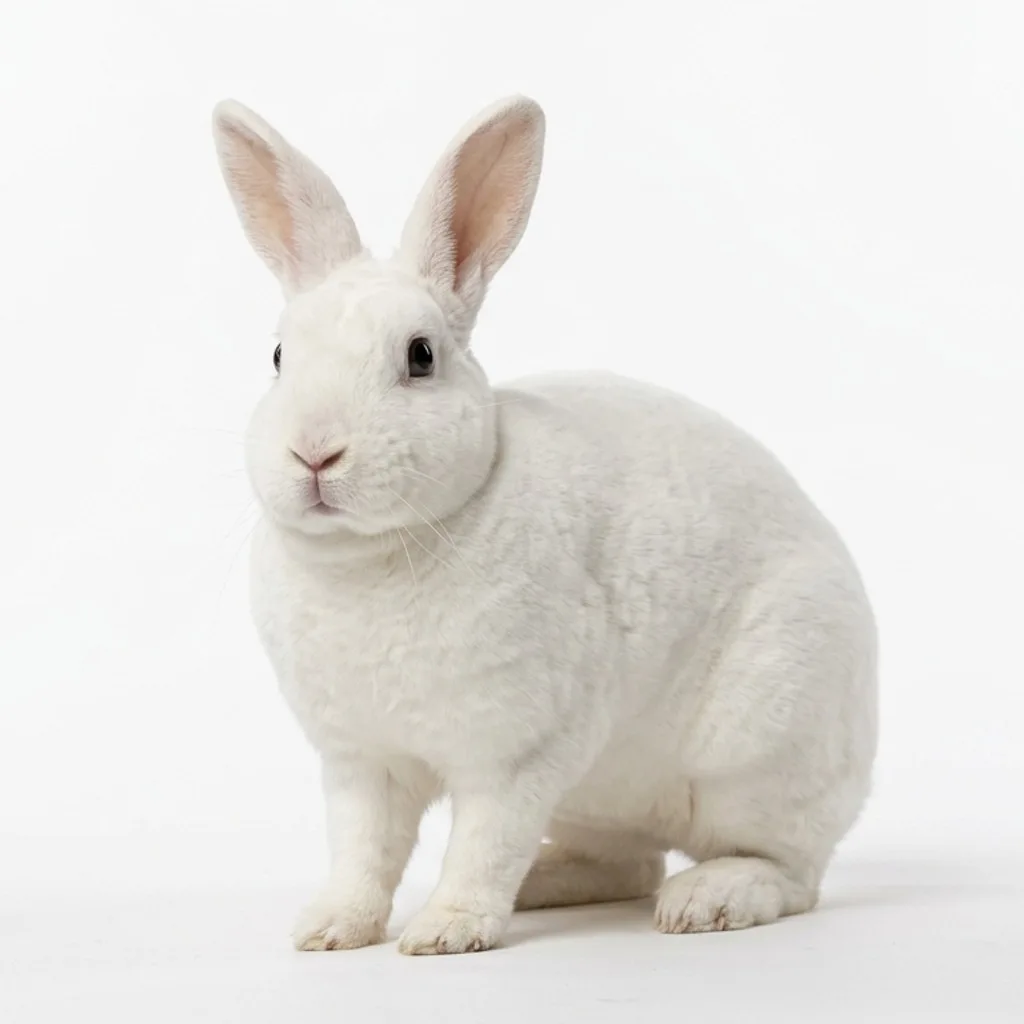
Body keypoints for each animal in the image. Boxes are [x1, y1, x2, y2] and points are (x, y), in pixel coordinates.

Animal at [211, 94, 877, 956]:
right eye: (278, 358)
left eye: (420, 355)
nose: (314, 453)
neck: (377, 556)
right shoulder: (361, 763)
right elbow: (363, 853)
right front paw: (331, 929)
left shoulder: (518, 755)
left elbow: (482, 845)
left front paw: (446, 931)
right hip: (599, 793)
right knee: (628, 861)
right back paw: (544, 885)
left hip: (756, 754)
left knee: (787, 871)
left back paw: (708, 901)